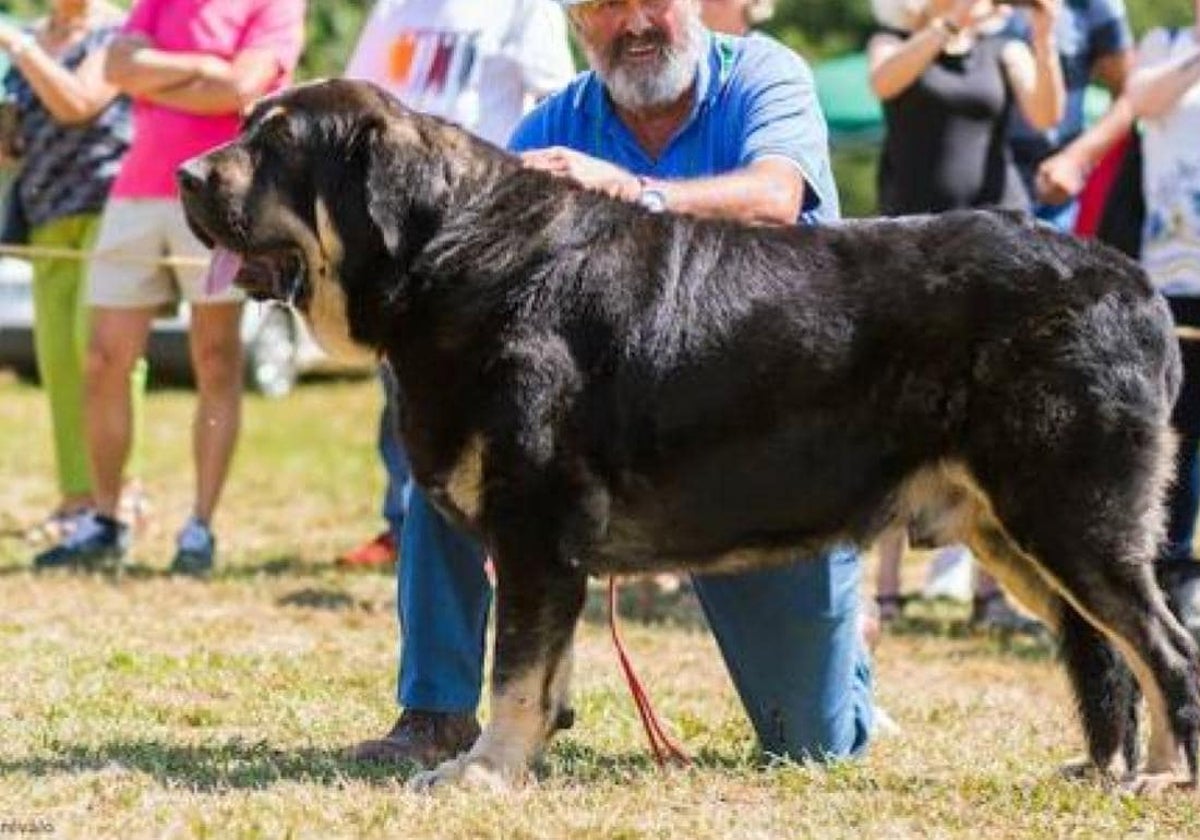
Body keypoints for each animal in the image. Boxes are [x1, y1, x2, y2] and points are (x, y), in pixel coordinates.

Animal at [180, 80, 1200, 792]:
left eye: (276, 146)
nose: (187, 176)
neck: (456, 258)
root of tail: (1136, 285)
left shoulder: (535, 526)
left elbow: (514, 671)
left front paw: (484, 773)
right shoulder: (546, 546)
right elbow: (542, 672)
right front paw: (522, 756)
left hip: (1072, 517)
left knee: (1164, 647)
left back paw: (1161, 778)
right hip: (1014, 533)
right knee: (1104, 651)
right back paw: (1105, 767)